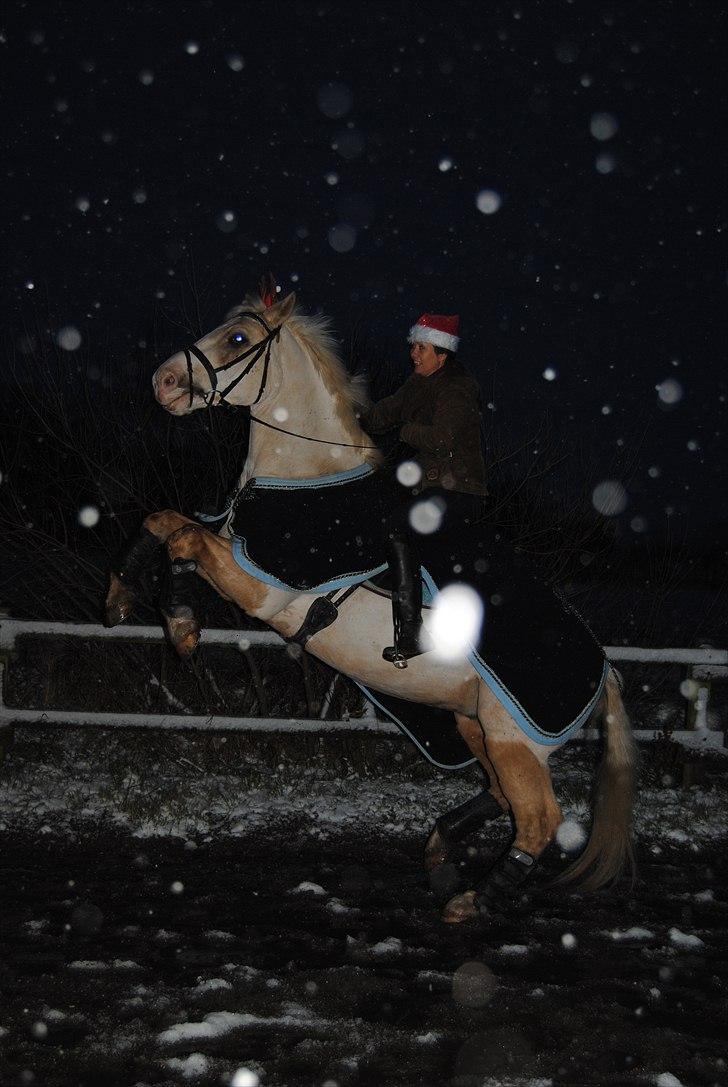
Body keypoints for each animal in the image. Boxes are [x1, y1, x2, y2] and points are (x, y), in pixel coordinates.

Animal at [105, 284, 634, 921]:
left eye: (237, 338)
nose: (163, 383)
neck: (303, 478)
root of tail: (605, 673)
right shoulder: (228, 545)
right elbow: (165, 522)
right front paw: (135, 603)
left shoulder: (265, 590)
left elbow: (181, 537)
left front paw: (178, 621)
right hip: (472, 723)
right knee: (501, 799)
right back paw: (439, 858)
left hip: (516, 736)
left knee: (537, 819)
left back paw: (472, 899)